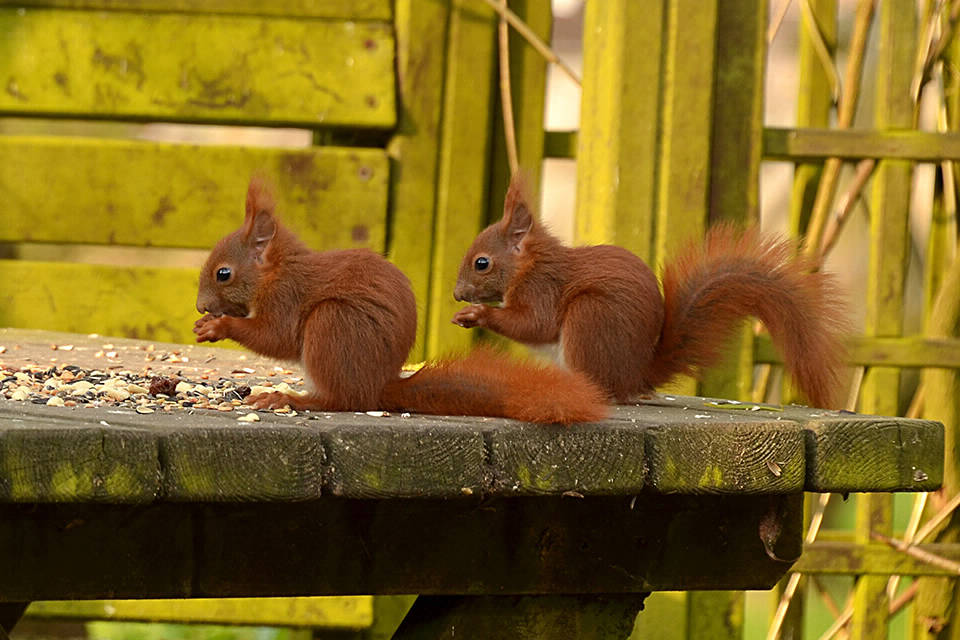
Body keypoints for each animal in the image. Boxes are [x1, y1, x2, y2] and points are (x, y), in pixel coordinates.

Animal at [191, 176, 604, 424]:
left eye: (223, 273)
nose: (199, 306)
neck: (273, 273)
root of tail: (379, 386)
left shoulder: (286, 299)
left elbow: (274, 337)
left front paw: (218, 325)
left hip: (332, 325)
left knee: (343, 401)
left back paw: (289, 399)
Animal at [452, 174, 848, 410]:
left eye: (482, 263)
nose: (456, 294)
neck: (528, 266)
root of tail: (635, 375)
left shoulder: (542, 289)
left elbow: (535, 325)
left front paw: (478, 314)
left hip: (589, 317)